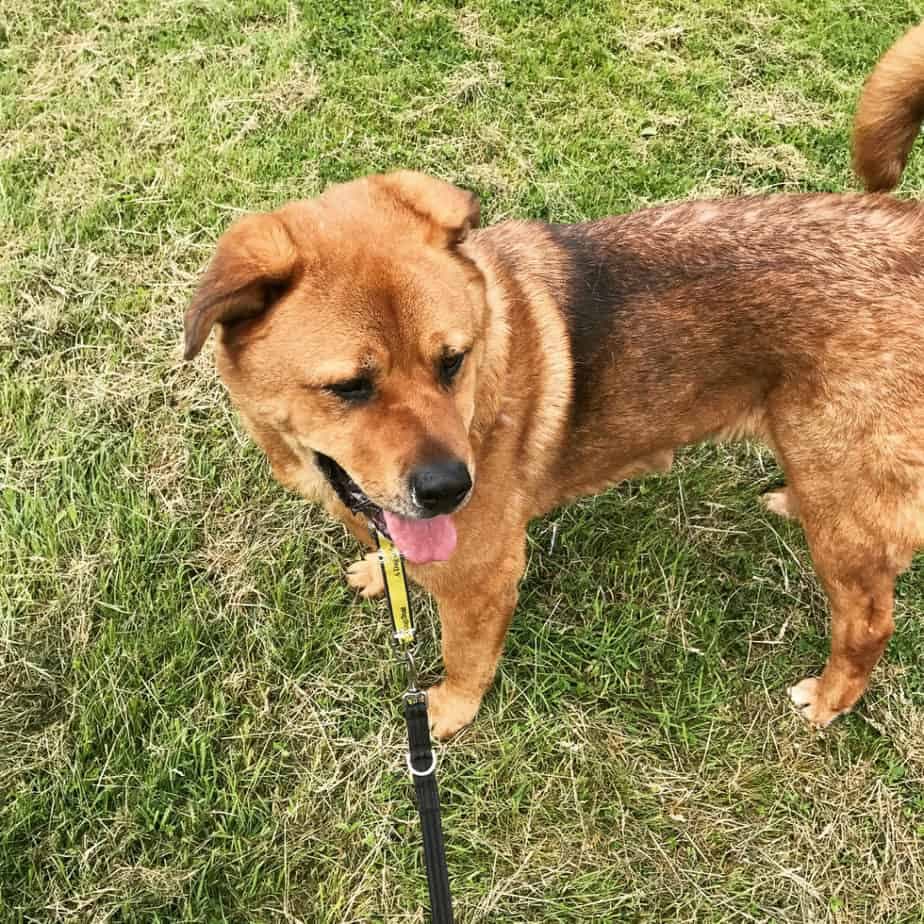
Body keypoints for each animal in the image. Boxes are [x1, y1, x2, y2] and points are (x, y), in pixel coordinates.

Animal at [184, 25, 924, 740]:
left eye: (452, 361)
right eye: (349, 387)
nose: (452, 489)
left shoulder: (482, 577)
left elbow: (464, 657)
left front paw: (448, 712)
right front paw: (379, 571)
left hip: (847, 524)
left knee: (868, 620)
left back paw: (831, 698)